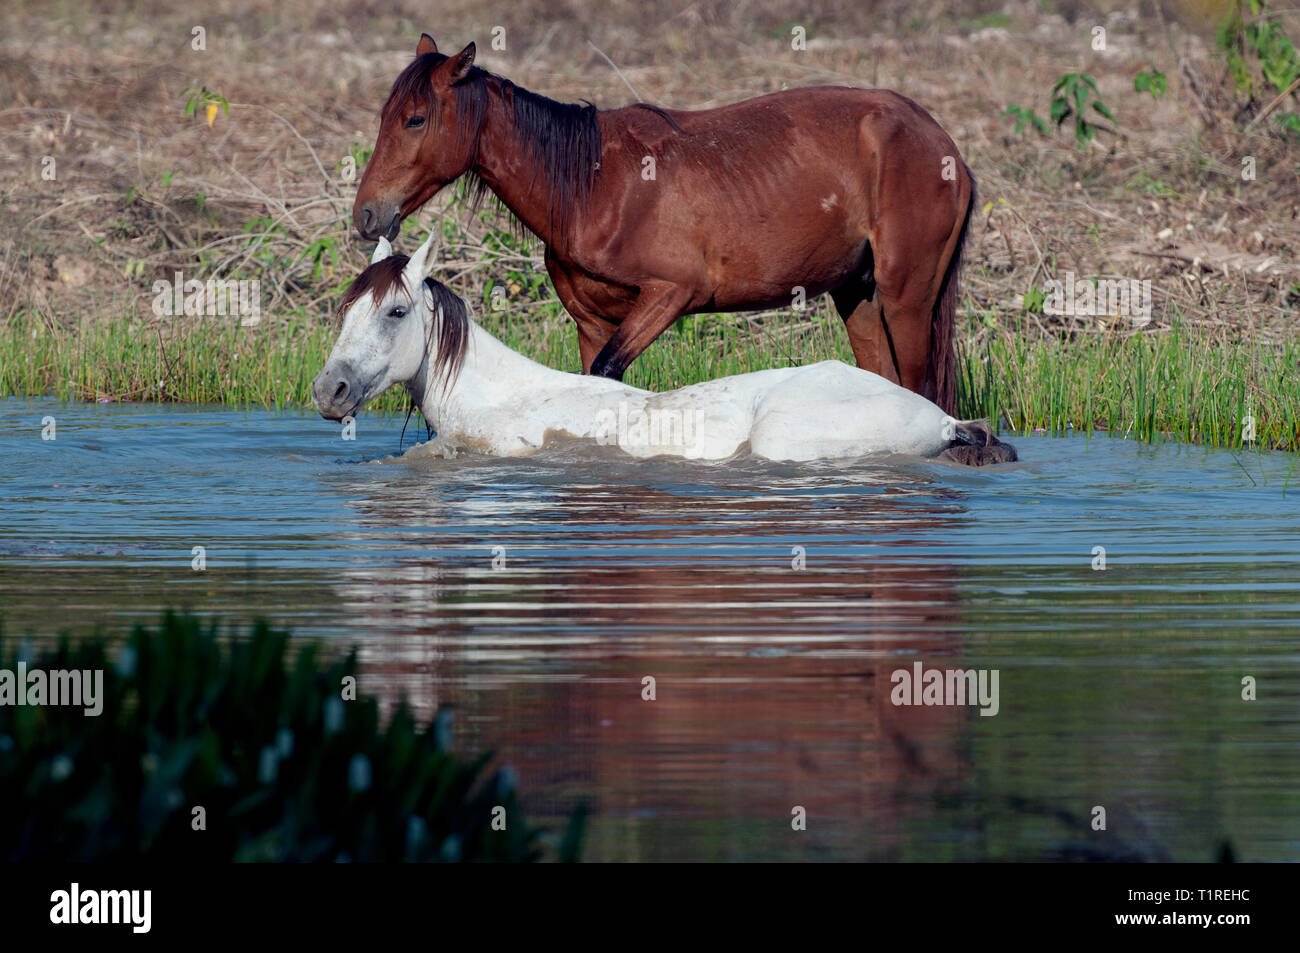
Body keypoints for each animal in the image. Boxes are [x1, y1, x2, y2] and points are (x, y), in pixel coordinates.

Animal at [356, 32, 977, 413]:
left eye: (415, 120)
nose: (366, 213)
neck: (592, 186)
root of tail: (943, 145)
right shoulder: (592, 323)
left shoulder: (670, 294)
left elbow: (608, 373)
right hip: (859, 297)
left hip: (907, 297)